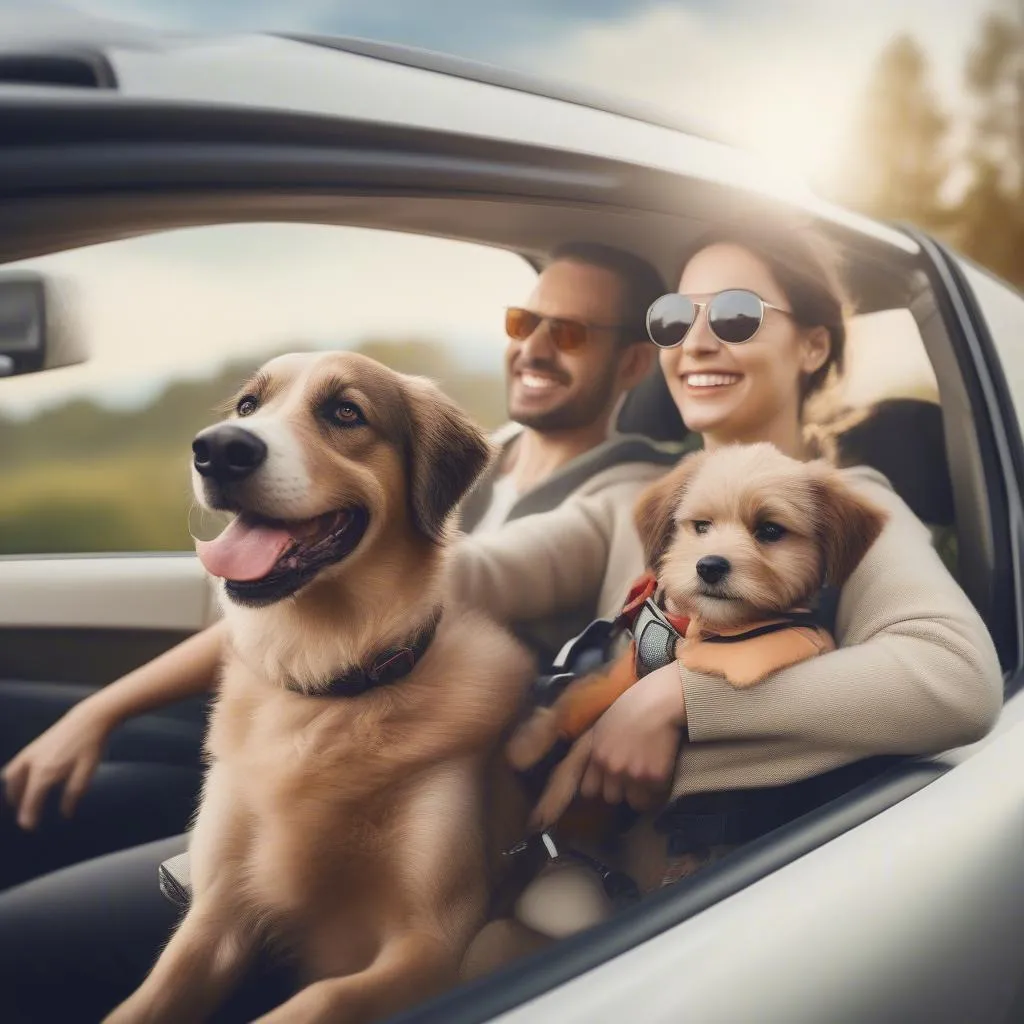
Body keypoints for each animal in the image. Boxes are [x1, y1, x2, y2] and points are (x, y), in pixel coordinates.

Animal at [104, 354, 536, 1024]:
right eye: (248, 406)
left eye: (345, 412)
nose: (217, 450)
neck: (329, 686)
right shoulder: (215, 913)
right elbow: (146, 1001)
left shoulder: (431, 943)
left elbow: (316, 1000)